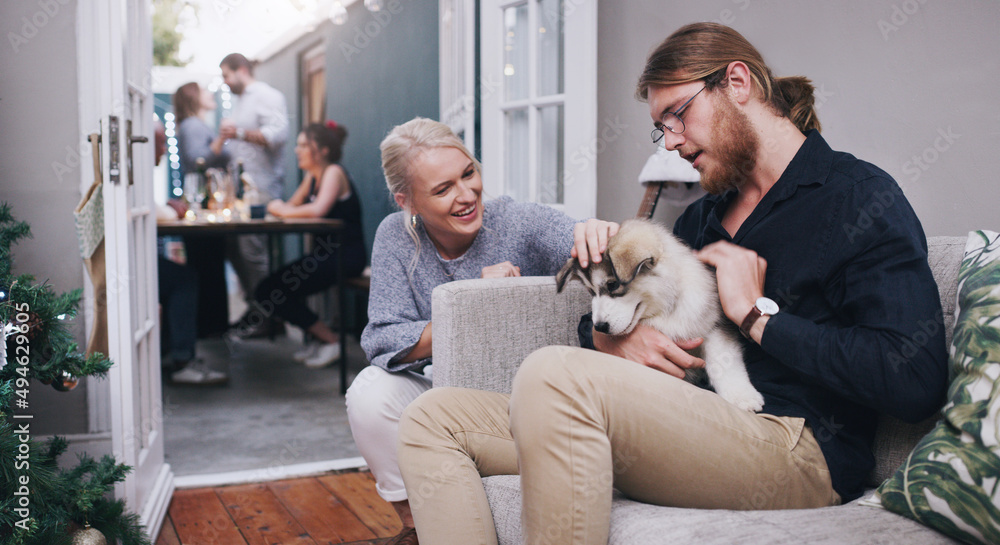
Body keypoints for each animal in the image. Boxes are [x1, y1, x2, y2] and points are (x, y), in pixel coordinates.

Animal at [560, 219, 760, 410]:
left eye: (613, 285)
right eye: (591, 291)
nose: (600, 327)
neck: (665, 310)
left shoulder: (714, 322)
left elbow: (724, 360)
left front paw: (743, 397)